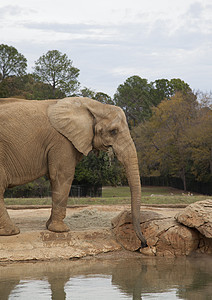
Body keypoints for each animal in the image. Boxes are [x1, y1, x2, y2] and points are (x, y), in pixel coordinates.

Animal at [0, 97, 147, 247]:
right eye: (113, 131)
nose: (144, 243)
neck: (94, 105)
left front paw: (49, 226)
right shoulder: (62, 141)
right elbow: (62, 175)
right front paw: (60, 230)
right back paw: (11, 232)